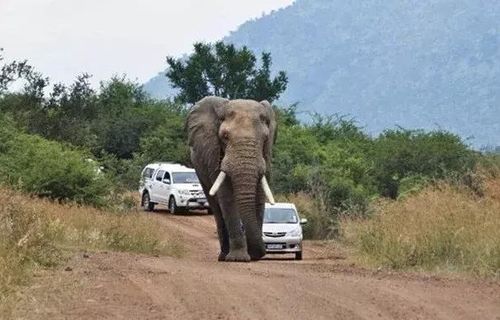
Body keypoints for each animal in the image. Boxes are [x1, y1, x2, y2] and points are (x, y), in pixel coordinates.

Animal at [187, 96, 276, 262]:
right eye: (225, 137)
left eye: (265, 138)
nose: (260, 253)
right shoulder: (214, 153)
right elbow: (227, 196)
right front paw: (238, 258)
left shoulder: (266, 155)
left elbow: (259, 195)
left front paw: (252, 256)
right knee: (216, 207)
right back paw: (223, 256)